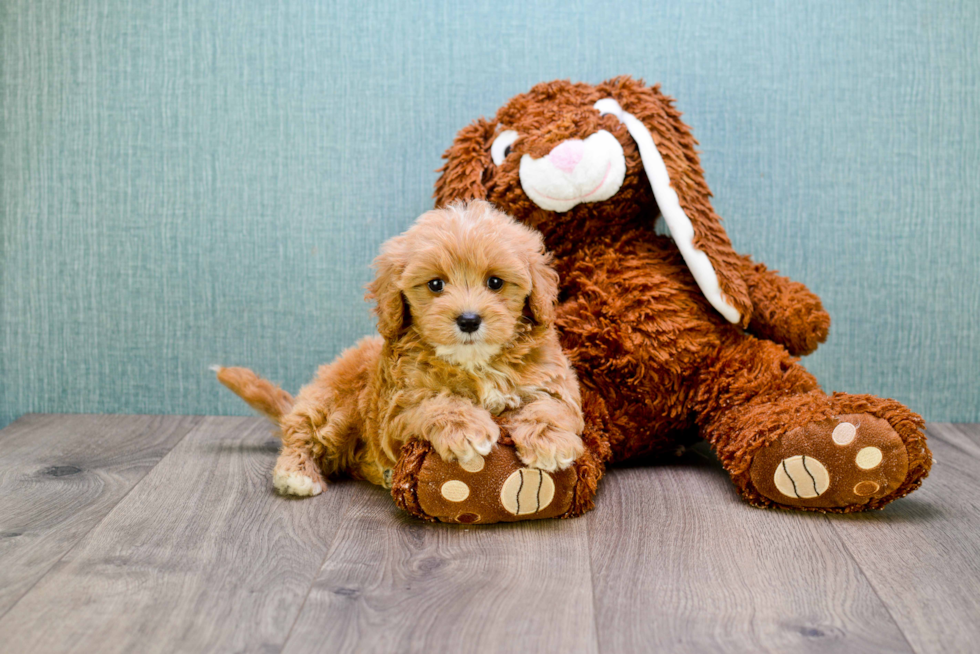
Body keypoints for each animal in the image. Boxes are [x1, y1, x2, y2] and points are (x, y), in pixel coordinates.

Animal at [215, 200, 580, 498]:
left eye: (495, 282)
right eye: (436, 285)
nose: (469, 320)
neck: (475, 363)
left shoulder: (553, 381)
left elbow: (550, 406)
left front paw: (550, 440)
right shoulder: (397, 408)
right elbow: (437, 402)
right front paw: (465, 428)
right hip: (334, 404)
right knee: (302, 432)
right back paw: (297, 473)